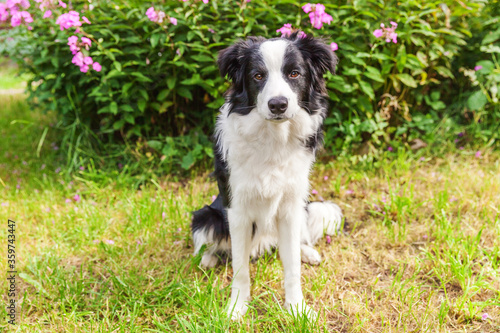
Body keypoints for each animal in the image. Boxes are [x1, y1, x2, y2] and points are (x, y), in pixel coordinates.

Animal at [191, 33, 344, 320]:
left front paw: (297, 308)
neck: (273, 138)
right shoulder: (237, 210)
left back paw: (308, 252)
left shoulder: (291, 206)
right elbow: (240, 269)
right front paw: (237, 308)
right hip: (206, 215)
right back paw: (207, 258)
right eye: (258, 76)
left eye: (294, 73)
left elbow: (292, 267)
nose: (278, 104)